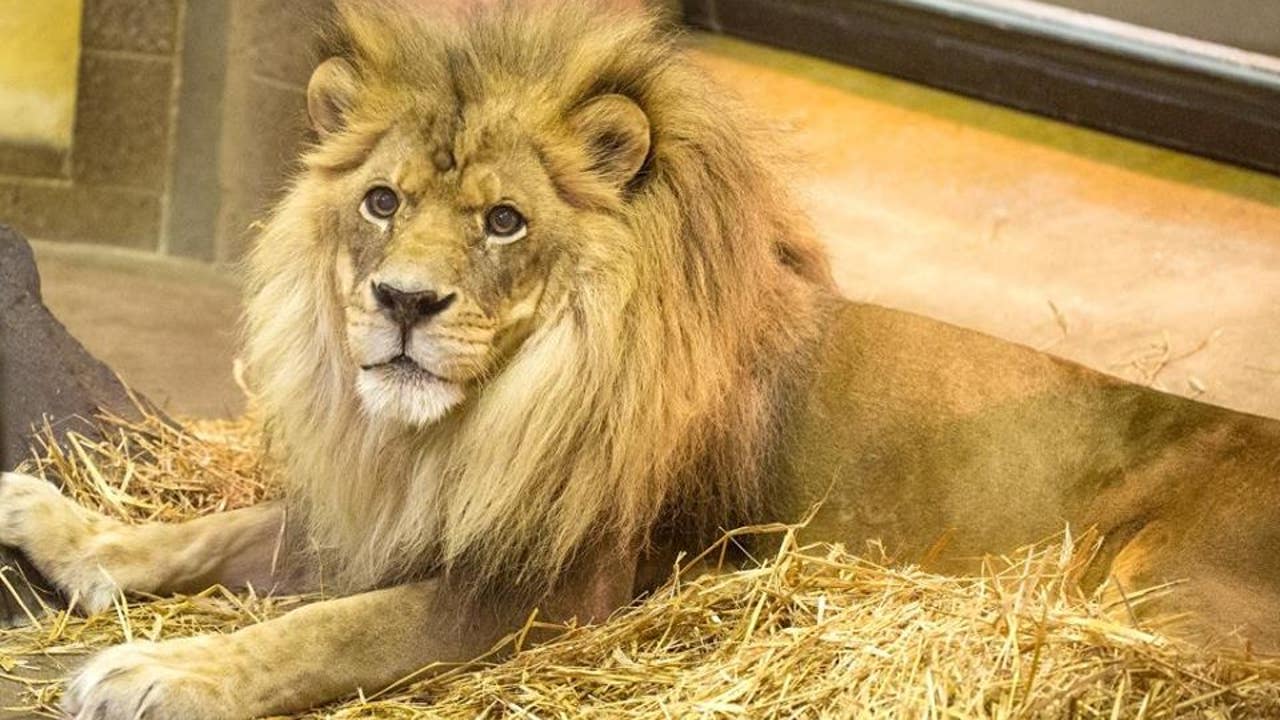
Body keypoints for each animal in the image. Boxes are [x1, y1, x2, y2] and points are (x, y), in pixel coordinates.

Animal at [2, 1, 1280, 717]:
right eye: (380, 201)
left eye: (503, 222)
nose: (401, 303)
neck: (473, 424)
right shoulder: (396, 512)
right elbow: (214, 531)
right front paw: (62, 529)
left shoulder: (560, 589)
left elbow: (335, 629)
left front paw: (160, 676)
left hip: (1150, 586)